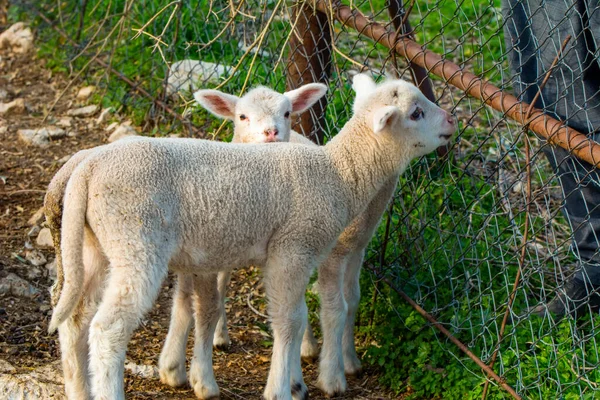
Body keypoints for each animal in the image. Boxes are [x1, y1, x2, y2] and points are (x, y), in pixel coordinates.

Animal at [50, 76, 454, 400]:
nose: (451, 120)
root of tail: (89, 167)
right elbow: (291, 319)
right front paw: (283, 389)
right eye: (416, 113)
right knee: (108, 328)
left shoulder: (297, 255)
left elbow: (298, 315)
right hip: (136, 239)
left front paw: (293, 381)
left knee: (75, 320)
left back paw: (78, 389)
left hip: (96, 245)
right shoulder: (293, 248)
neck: (337, 173)